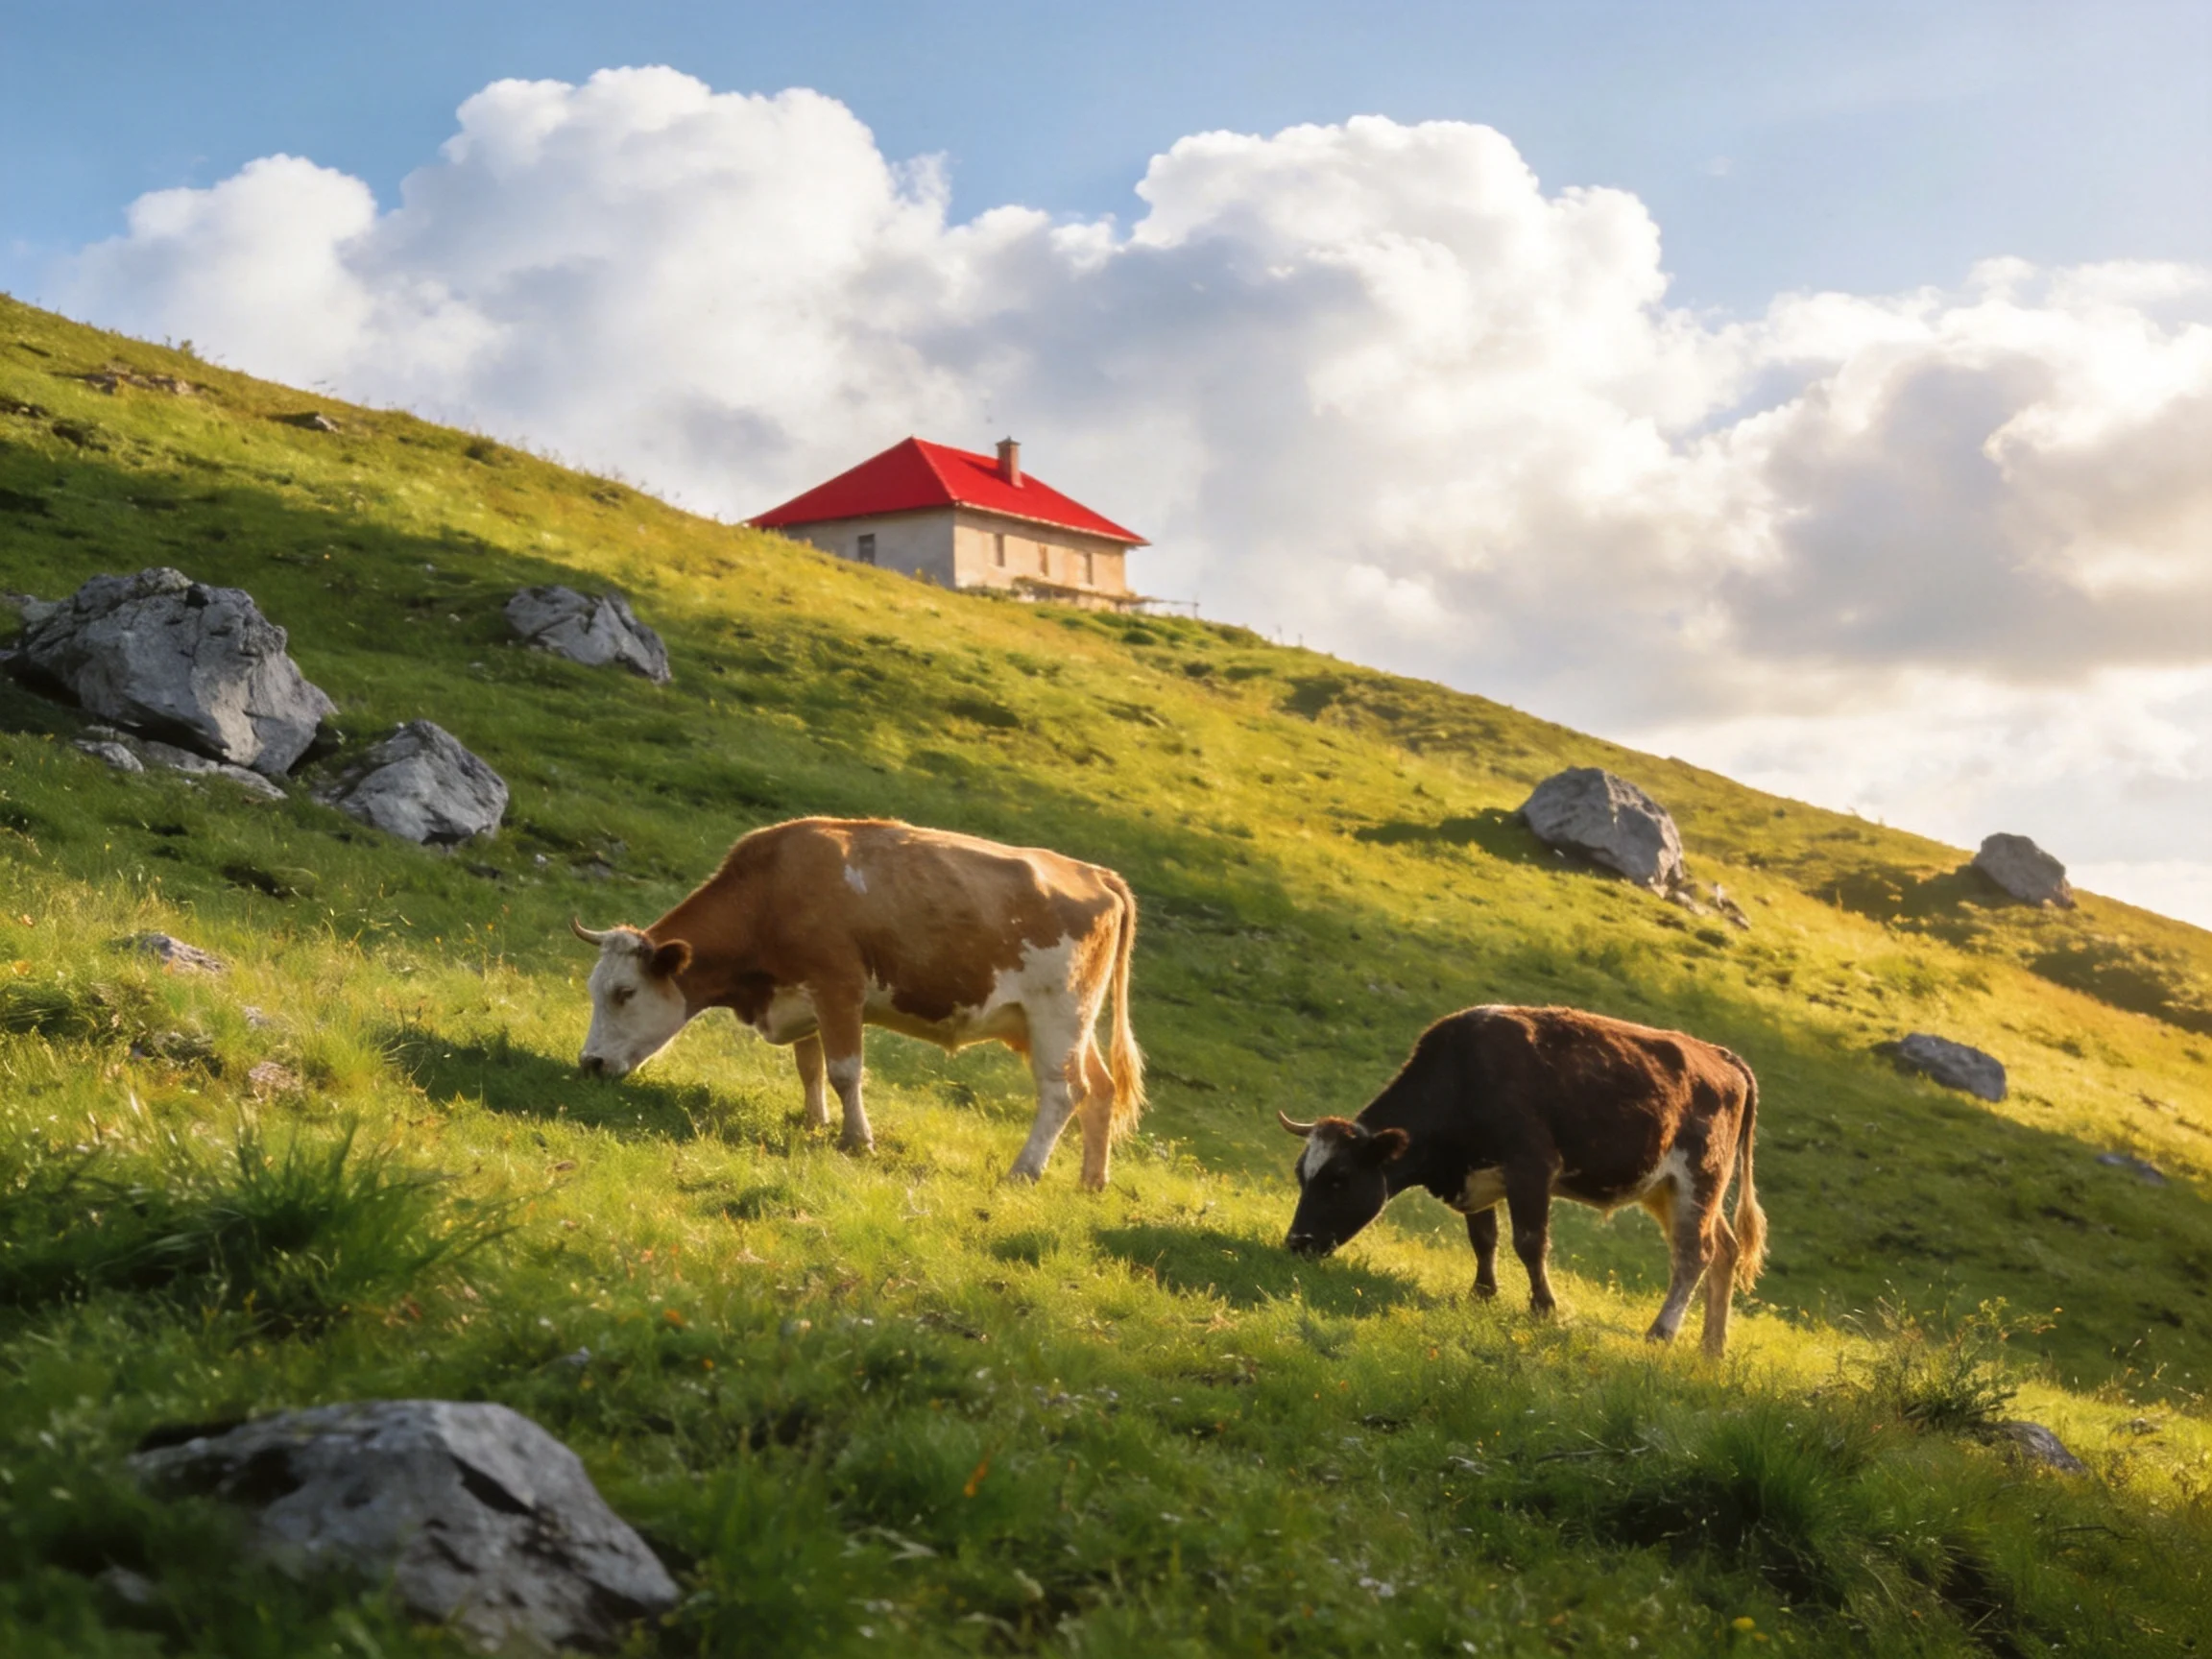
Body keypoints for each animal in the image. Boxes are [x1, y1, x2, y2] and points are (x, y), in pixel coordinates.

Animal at [570, 817, 1145, 1188]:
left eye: (625, 992)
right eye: (596, 989)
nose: (589, 1063)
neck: (772, 891)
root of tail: (1096, 874)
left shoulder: (838, 987)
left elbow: (845, 1070)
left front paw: (857, 1140)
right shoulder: (803, 997)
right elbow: (809, 1066)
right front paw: (815, 1123)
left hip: (1058, 1016)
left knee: (1063, 1092)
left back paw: (1024, 1171)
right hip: (1053, 1025)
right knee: (1101, 1088)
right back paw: (1092, 1181)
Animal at [1279, 1005, 1765, 1357]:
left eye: (1339, 1178)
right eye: (1302, 1174)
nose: (1296, 1243)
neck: (1464, 1076)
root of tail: (1721, 1057)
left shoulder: (1530, 1169)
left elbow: (1530, 1242)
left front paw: (1543, 1307)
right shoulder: (1480, 1178)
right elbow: (1484, 1239)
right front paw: (1482, 1294)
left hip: (1698, 1181)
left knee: (1693, 1254)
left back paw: (1662, 1332)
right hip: (1667, 1190)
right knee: (1724, 1250)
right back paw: (1712, 1347)